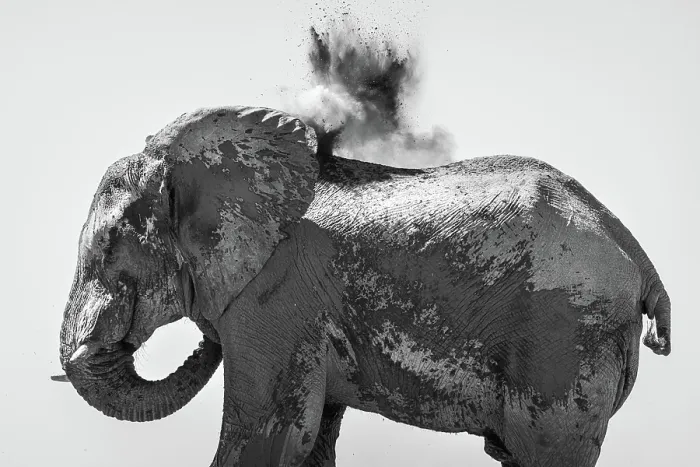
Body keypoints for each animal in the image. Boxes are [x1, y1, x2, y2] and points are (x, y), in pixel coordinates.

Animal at [56, 105, 671, 467]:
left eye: (109, 246)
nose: (206, 341)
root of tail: (639, 258)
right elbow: (310, 439)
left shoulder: (273, 302)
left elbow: (268, 437)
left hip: (563, 338)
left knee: (543, 451)